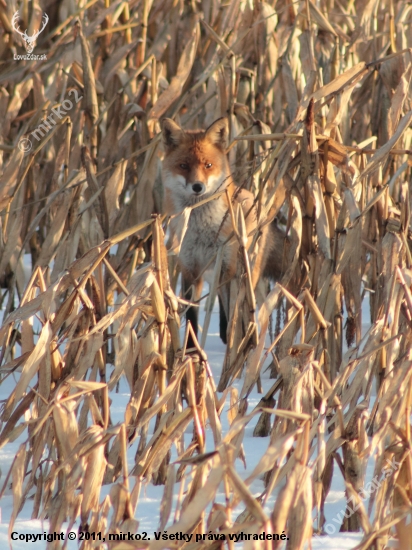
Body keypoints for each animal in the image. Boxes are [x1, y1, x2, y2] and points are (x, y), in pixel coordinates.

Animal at [160, 118, 284, 348]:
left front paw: (232, 342)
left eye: (208, 165)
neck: (201, 231)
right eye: (184, 166)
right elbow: (191, 319)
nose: (197, 186)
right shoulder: (190, 270)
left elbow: (231, 318)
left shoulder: (227, 268)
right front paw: (191, 352)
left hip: (245, 274)